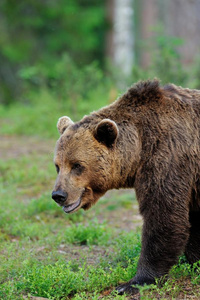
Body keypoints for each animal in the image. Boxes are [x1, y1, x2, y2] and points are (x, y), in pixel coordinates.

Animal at [51, 79, 200, 296]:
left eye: (77, 165)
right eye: (57, 166)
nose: (58, 195)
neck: (139, 147)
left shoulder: (169, 157)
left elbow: (163, 216)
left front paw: (135, 282)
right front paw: (196, 261)